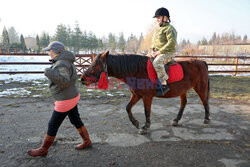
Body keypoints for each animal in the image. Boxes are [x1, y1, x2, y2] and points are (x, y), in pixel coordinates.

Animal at [80, 51, 209, 134]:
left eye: (94, 66)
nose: (82, 79)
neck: (137, 70)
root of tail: (202, 61)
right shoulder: (136, 95)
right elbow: (128, 107)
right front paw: (135, 122)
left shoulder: (147, 97)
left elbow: (147, 112)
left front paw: (145, 127)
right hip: (183, 89)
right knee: (184, 103)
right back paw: (176, 120)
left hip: (200, 88)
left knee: (205, 101)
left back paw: (207, 118)